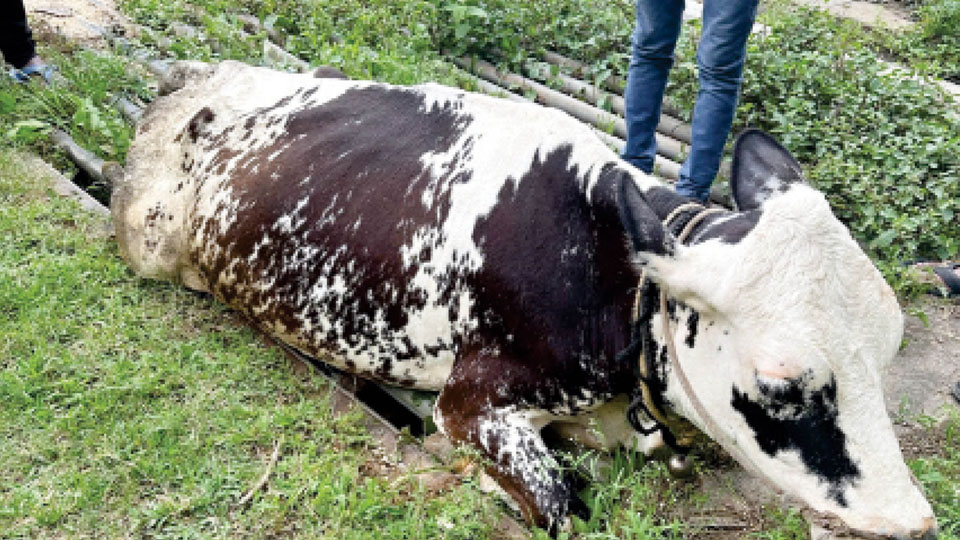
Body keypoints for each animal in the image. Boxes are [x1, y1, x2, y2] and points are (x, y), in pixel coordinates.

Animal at [112, 60, 937, 539]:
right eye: (780, 384)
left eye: (889, 348)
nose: (914, 520)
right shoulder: (470, 401)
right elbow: (560, 502)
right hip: (150, 244)